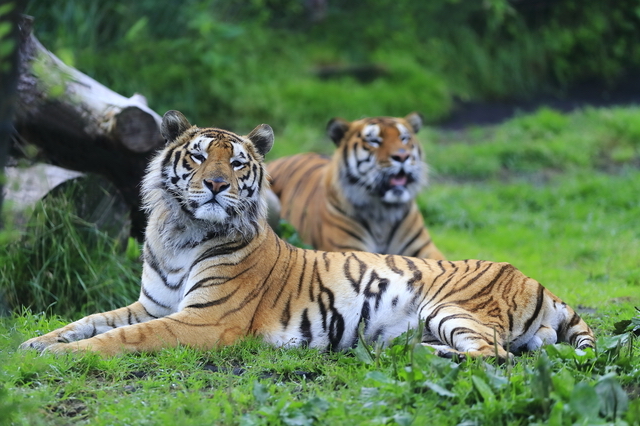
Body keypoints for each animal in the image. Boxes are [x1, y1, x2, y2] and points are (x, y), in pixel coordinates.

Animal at [264, 112, 444, 260]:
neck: (383, 213)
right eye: (374, 141)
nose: (402, 156)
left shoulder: (426, 249)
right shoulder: (347, 248)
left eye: (404, 138)